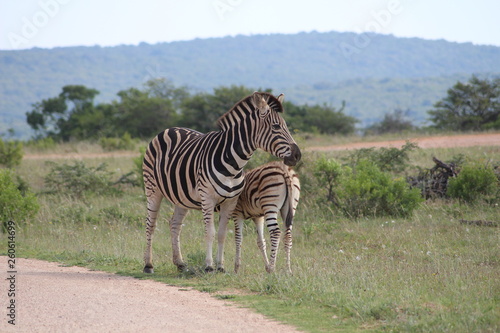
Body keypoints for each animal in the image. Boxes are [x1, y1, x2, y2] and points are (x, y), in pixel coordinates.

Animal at [141, 91, 300, 272]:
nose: (297, 155)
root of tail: (169, 129)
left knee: (175, 224)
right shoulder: (208, 199)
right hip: (153, 189)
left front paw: (221, 266)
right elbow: (210, 232)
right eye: (276, 127)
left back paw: (180, 263)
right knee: (151, 224)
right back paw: (148, 264)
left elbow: (222, 233)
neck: (233, 163)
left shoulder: (230, 202)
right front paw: (209, 266)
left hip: (181, 197)